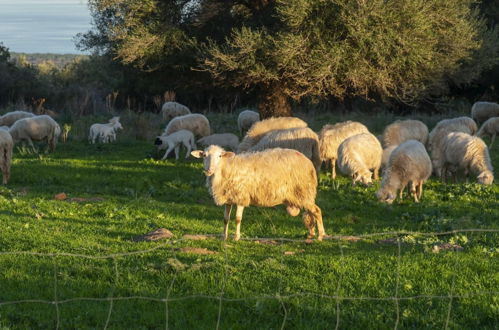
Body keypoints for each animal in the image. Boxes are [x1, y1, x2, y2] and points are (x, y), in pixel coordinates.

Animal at [189, 146, 326, 241]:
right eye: (204, 155)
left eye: (220, 156)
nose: (209, 170)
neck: (225, 169)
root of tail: (309, 163)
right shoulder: (229, 199)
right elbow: (225, 219)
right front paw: (224, 237)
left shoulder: (241, 197)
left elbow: (238, 219)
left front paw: (236, 237)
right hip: (303, 195)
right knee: (310, 213)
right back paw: (311, 234)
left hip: (303, 192)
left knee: (317, 211)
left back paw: (320, 236)